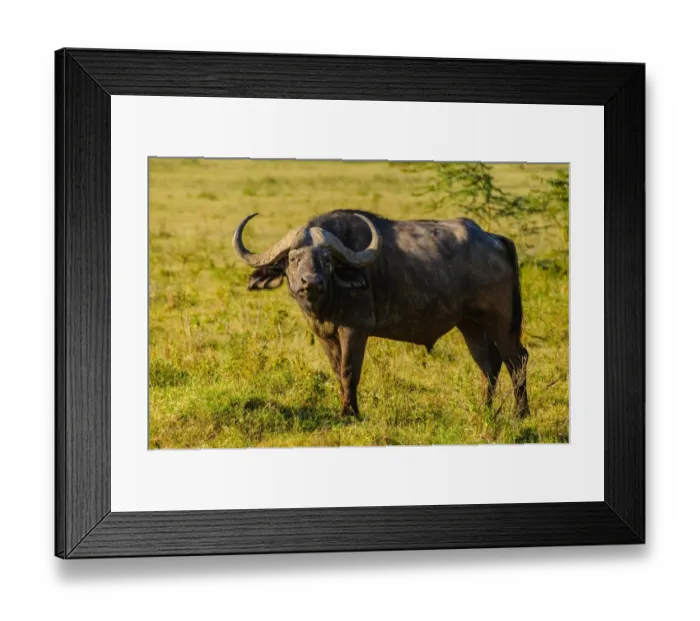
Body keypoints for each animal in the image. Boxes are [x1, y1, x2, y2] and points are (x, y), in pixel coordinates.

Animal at [233, 210, 530, 418]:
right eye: (293, 259)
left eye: (327, 260)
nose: (312, 282)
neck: (328, 300)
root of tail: (494, 239)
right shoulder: (325, 336)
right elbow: (337, 371)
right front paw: (345, 408)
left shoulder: (355, 330)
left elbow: (349, 371)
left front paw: (351, 413)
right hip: (470, 325)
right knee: (489, 364)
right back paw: (485, 409)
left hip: (502, 322)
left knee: (516, 360)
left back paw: (520, 414)